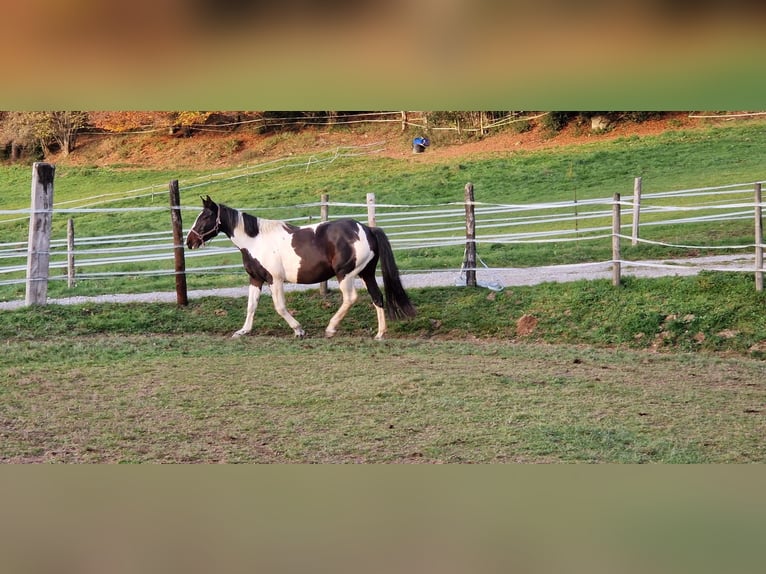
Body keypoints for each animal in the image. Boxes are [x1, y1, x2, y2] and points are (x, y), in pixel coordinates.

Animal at [186, 196, 416, 340]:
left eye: (205, 217)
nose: (189, 241)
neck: (255, 240)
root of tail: (367, 229)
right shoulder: (256, 279)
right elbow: (251, 306)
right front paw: (243, 331)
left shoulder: (275, 280)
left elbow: (279, 307)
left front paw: (298, 330)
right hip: (366, 274)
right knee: (377, 298)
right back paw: (380, 334)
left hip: (345, 274)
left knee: (350, 298)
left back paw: (330, 328)